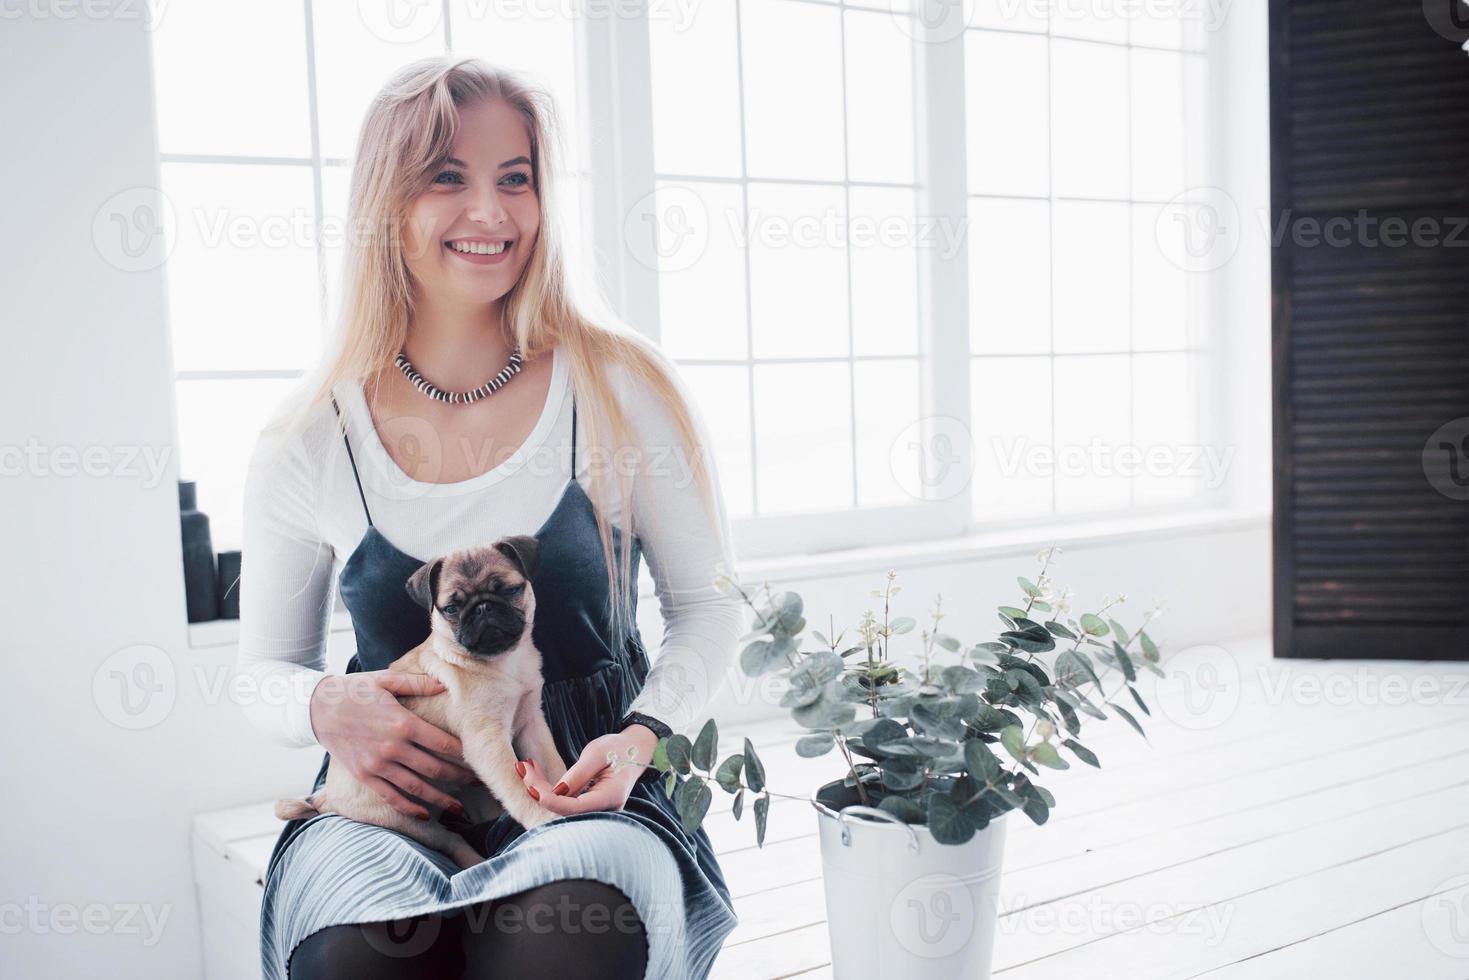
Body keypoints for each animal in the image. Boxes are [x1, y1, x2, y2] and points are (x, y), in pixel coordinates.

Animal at [276, 537, 567, 863]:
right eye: (451, 608)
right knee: (451, 839)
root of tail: (327, 796)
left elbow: (554, 767)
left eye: (510, 590)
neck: (503, 663)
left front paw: (571, 797)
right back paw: (476, 860)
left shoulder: (531, 725)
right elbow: (517, 787)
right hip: (406, 817)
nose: (483, 608)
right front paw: (542, 816)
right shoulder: (488, 742)